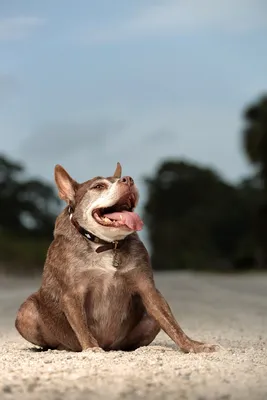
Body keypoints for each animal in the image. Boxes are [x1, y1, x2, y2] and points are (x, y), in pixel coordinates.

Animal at [15, 162, 220, 354]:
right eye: (98, 186)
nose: (128, 179)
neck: (106, 244)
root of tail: (110, 346)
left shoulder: (148, 290)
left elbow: (172, 324)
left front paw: (193, 346)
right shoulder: (72, 294)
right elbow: (81, 326)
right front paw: (92, 348)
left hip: (147, 318)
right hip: (27, 313)